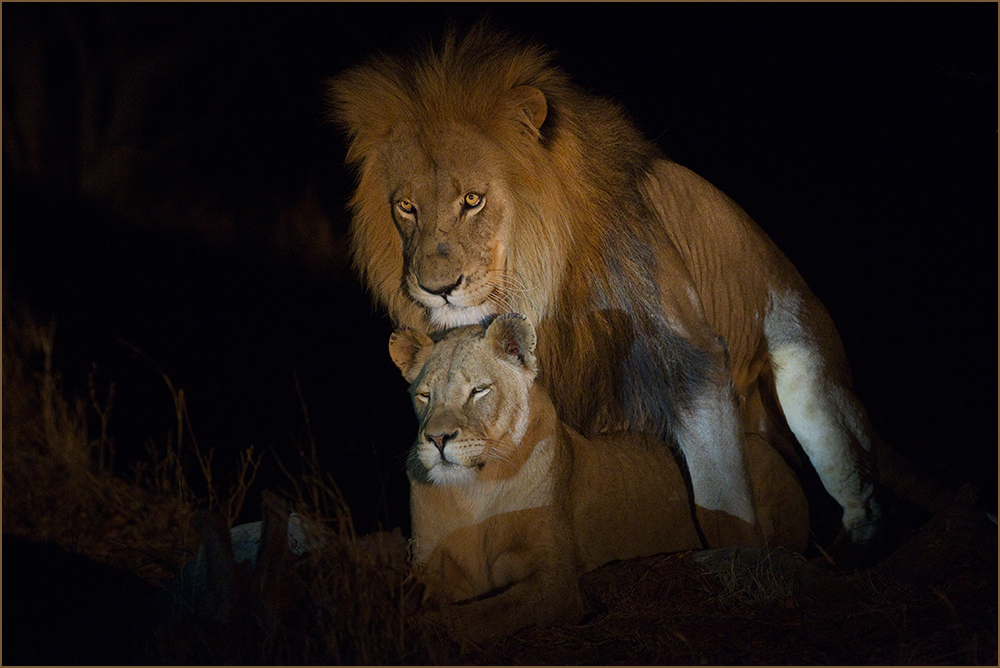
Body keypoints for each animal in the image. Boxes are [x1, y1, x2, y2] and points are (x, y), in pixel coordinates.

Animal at [332, 28, 888, 544]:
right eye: (406, 207)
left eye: (472, 199)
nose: (436, 288)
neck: (544, 281)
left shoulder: (691, 355)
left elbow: (720, 492)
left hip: (809, 380)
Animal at [390, 316, 812, 640]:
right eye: (425, 395)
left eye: (478, 390)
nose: (437, 439)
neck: (473, 492)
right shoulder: (430, 567)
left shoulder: (555, 582)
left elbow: (488, 612)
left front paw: (436, 629)